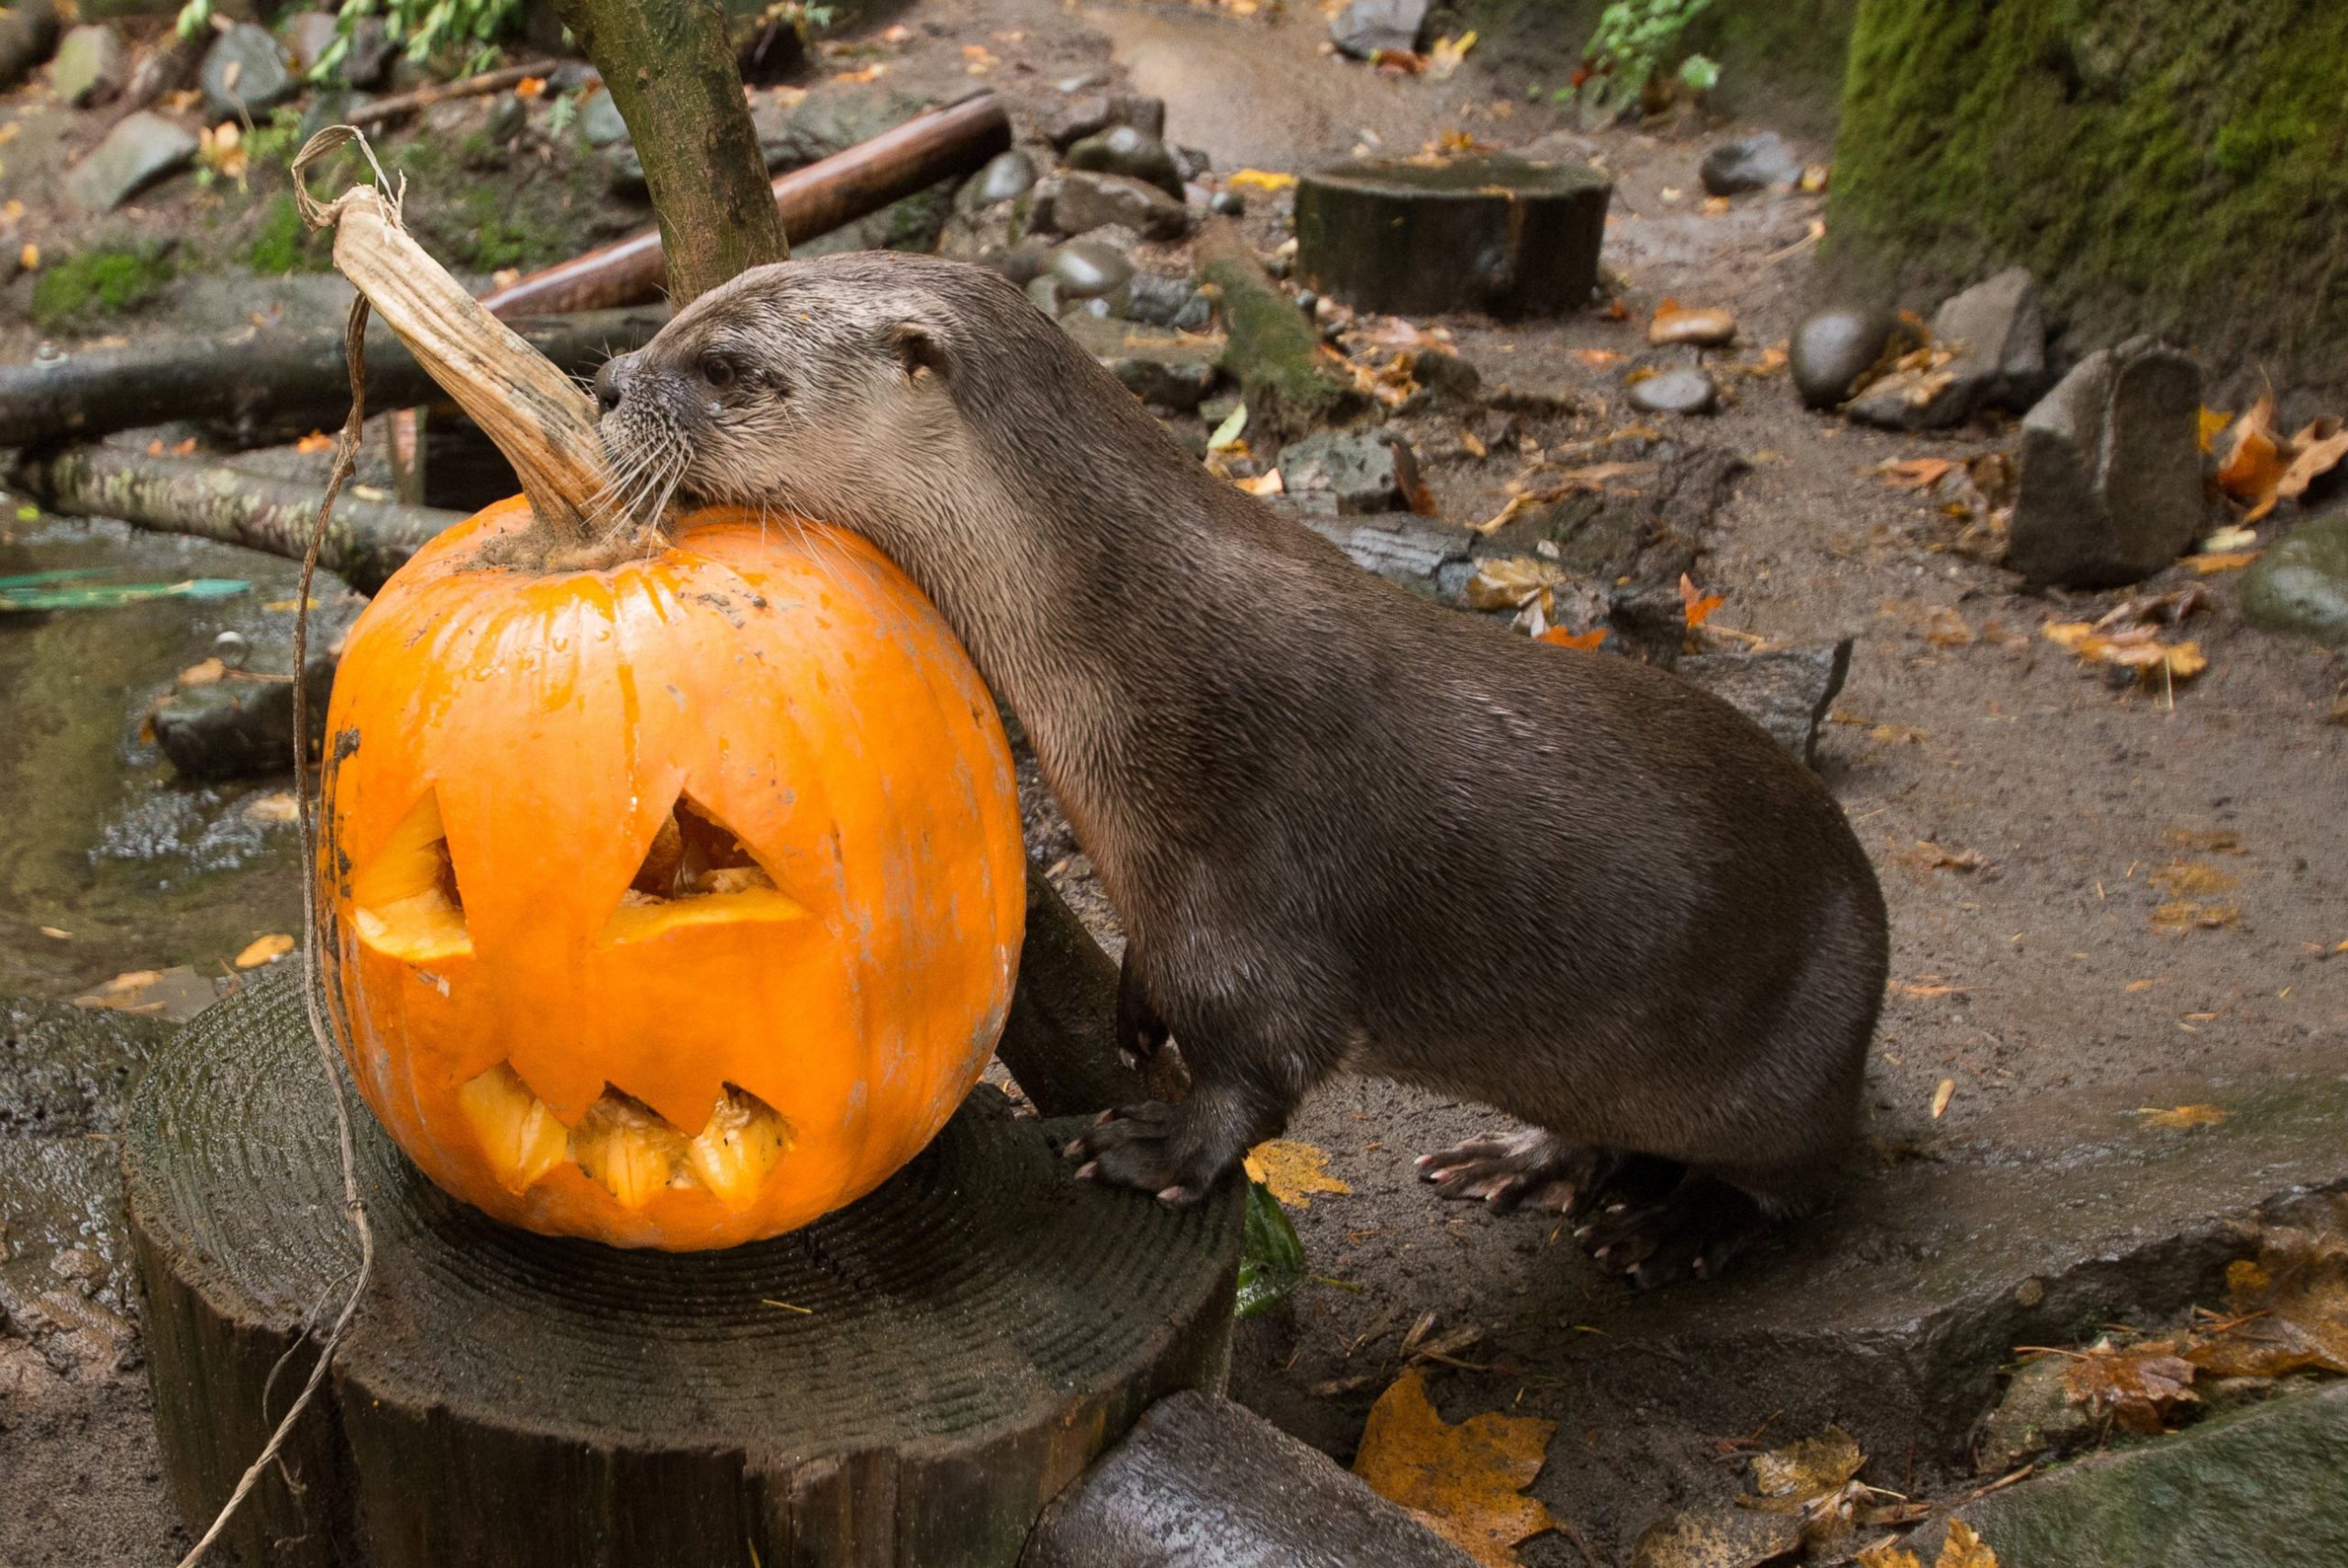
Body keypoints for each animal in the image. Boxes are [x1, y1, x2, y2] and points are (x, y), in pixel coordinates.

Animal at [601, 248, 1888, 1286]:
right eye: (676, 318)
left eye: (722, 365)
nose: (609, 381)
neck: (1136, 646)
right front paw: (1133, 1009)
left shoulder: (1260, 859)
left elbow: (1263, 1054)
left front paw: (1153, 1141)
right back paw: (1522, 1160)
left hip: (1788, 1073)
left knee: (1803, 1183)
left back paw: (1672, 1231)